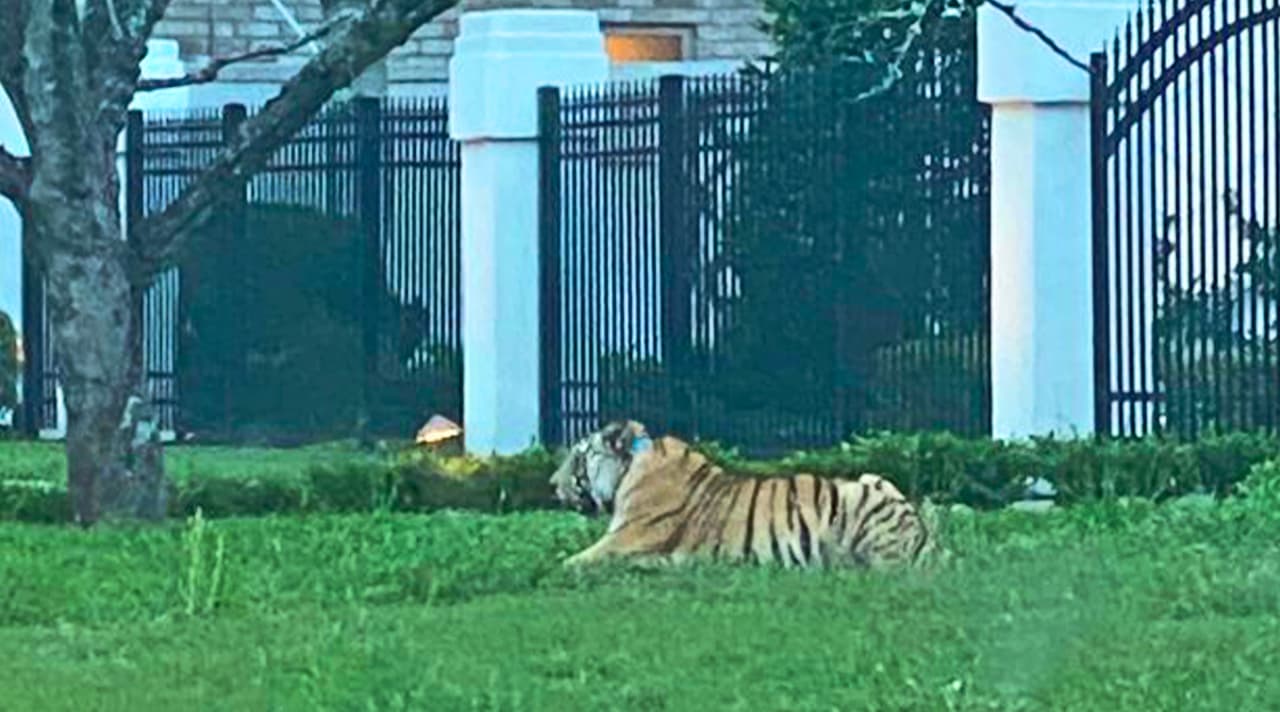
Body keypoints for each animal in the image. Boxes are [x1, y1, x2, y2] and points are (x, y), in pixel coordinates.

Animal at [548, 420, 934, 570]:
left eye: (577, 455)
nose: (551, 483)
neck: (630, 468)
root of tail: (924, 535)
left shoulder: (624, 538)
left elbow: (571, 562)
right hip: (874, 478)